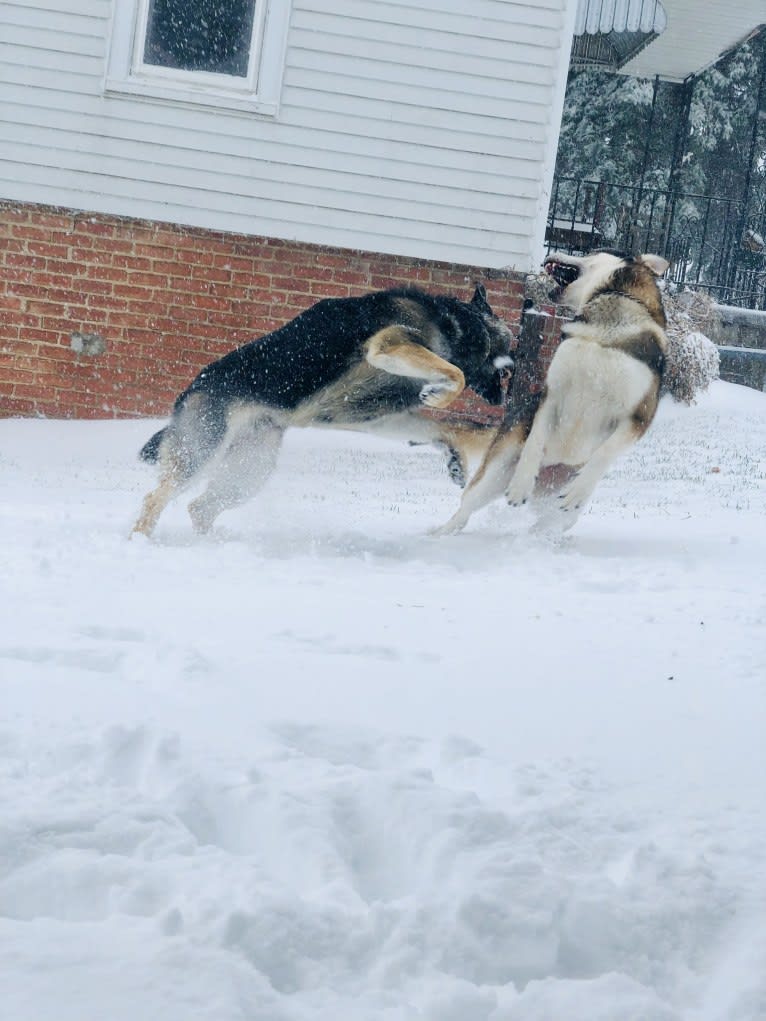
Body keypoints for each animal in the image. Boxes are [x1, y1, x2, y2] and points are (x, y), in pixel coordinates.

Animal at [437, 251, 669, 535]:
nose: (550, 254)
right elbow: (536, 439)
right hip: (497, 470)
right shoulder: (553, 394)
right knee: (465, 507)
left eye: (596, 249)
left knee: (551, 522)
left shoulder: (639, 417)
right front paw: (521, 484)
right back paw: (439, 534)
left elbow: (605, 453)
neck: (605, 330)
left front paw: (578, 490)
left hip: (559, 511)